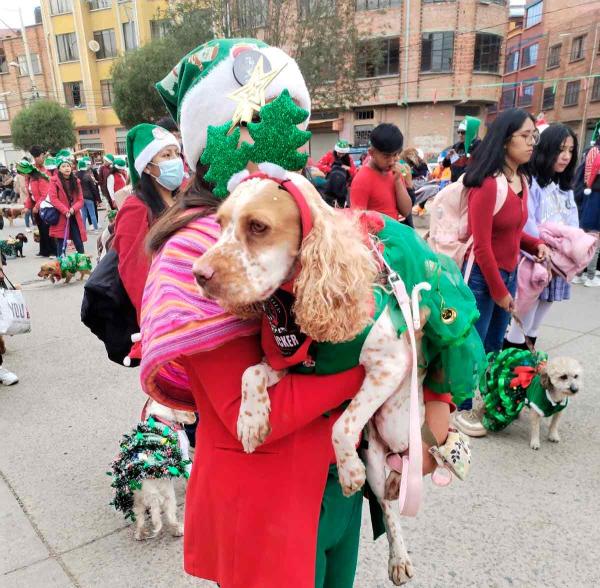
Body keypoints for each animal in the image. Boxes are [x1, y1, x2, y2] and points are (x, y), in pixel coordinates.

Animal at [132, 402, 196, 540]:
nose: (195, 416)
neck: (162, 417)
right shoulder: (184, 456)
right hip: (167, 493)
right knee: (171, 516)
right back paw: (179, 530)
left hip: (138, 499)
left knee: (140, 517)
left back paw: (140, 534)